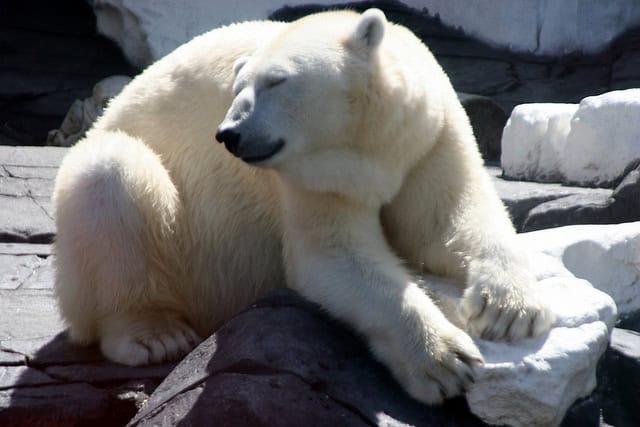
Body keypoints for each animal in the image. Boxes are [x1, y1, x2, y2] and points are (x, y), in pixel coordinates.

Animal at [53, 9, 554, 405]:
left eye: (277, 80)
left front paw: (511, 310)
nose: (229, 133)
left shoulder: (427, 137)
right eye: (236, 87)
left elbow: (447, 219)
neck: (367, 145)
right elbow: (333, 256)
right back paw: (155, 334)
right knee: (110, 174)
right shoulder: (311, 180)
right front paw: (445, 361)